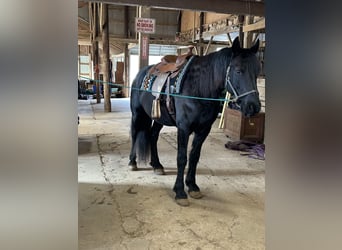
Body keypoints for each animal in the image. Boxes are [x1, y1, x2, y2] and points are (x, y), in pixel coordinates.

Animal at [130, 37, 260, 205]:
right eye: (238, 71)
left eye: (257, 72)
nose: (253, 106)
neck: (198, 87)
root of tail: (141, 73)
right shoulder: (183, 128)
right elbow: (182, 158)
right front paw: (180, 192)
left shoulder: (203, 130)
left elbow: (194, 156)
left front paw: (192, 186)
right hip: (137, 114)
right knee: (134, 134)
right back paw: (132, 162)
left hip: (159, 118)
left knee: (153, 136)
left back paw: (157, 165)